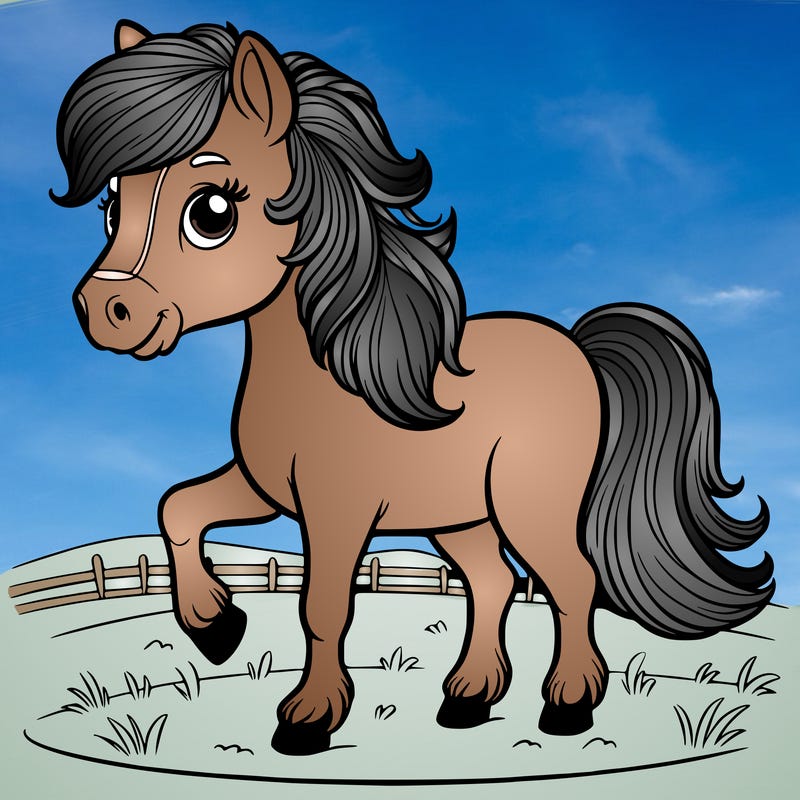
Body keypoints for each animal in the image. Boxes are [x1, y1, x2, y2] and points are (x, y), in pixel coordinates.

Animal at [52, 20, 774, 756]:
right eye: (113, 205)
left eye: (212, 211)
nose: (105, 312)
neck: (325, 373)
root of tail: (576, 349)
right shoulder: (265, 488)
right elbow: (179, 508)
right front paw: (217, 627)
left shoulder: (336, 510)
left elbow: (323, 605)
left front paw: (306, 719)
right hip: (461, 516)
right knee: (494, 581)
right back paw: (467, 699)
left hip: (528, 507)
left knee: (571, 580)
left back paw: (568, 705)